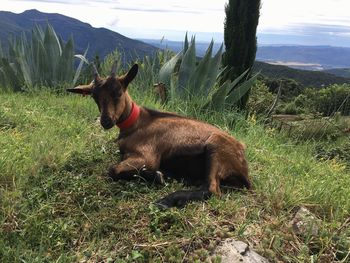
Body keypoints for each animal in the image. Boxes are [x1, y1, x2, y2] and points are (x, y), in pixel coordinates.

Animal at [66, 63, 252, 209]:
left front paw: (158, 176)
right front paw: (161, 175)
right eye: (94, 97)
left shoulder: (147, 156)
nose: (106, 121)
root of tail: (243, 162)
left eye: (118, 92)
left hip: (216, 147)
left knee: (212, 189)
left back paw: (167, 200)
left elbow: (113, 170)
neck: (137, 123)